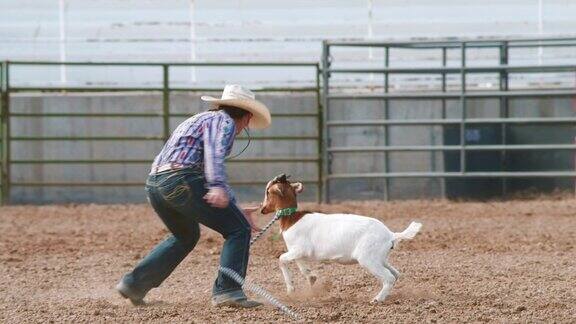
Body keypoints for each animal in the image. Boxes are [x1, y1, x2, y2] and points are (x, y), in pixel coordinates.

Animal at [260, 173, 424, 302]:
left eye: (268, 192)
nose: (262, 209)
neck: (292, 220)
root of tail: (390, 234)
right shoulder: (298, 252)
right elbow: (301, 266)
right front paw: (312, 278)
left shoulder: (300, 249)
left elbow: (281, 259)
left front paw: (290, 290)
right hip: (380, 258)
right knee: (396, 274)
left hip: (368, 259)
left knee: (389, 277)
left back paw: (377, 299)